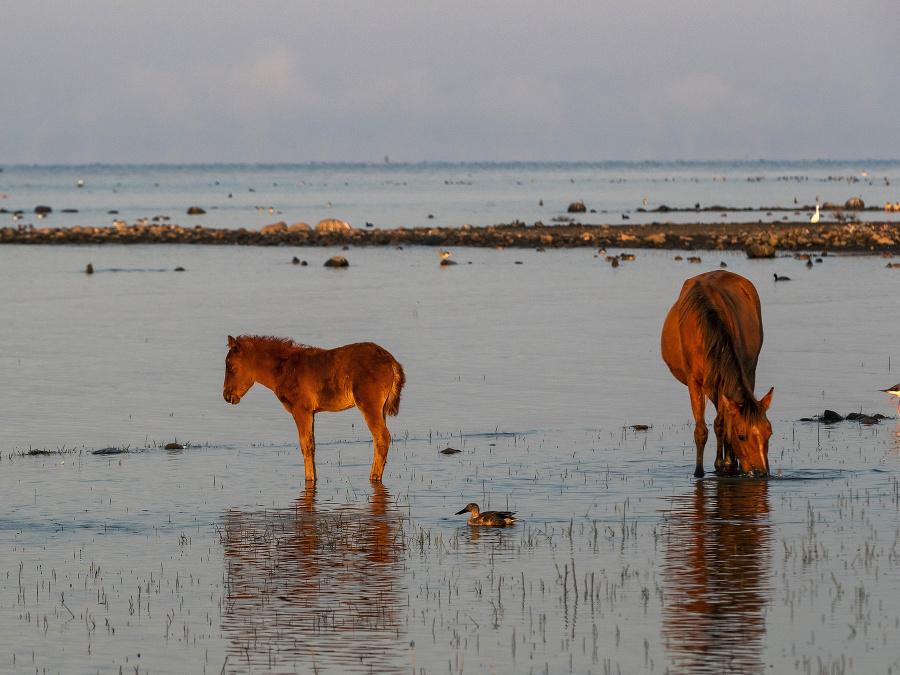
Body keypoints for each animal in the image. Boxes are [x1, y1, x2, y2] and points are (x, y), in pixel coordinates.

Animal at [223, 336, 406, 484]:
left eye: (230, 367)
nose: (226, 395)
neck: (283, 368)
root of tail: (391, 361)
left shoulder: (300, 410)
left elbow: (306, 445)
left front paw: (309, 479)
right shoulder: (311, 412)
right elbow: (312, 444)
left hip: (369, 404)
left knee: (382, 437)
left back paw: (373, 477)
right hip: (380, 409)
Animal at [660, 272, 772, 478]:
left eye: (769, 433)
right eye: (741, 436)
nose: (761, 473)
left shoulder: (721, 380)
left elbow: (721, 423)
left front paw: (724, 462)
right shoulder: (694, 381)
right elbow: (701, 429)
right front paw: (699, 471)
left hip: (747, 371)